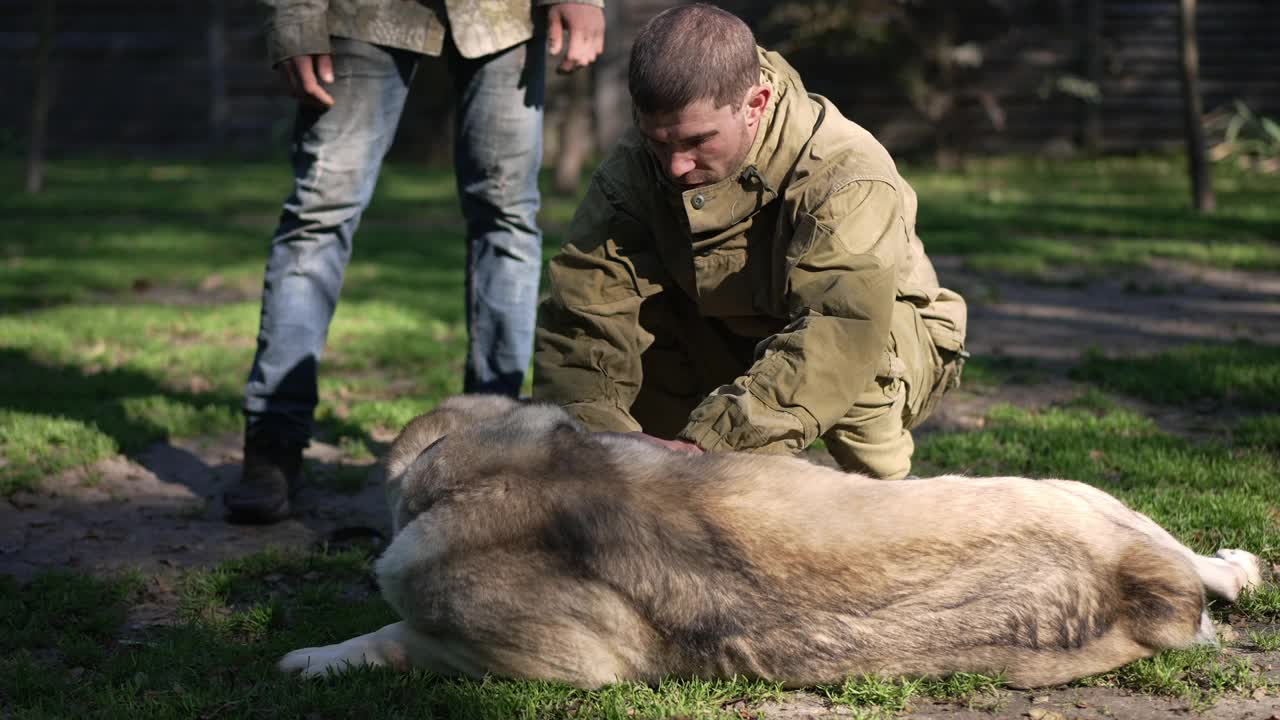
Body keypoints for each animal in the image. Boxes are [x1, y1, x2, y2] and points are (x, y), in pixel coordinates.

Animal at [275, 394, 1264, 686]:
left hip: (1076, 491)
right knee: (1207, 569)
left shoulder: (555, 667)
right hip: (1089, 504)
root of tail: (1136, 578)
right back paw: (1240, 569)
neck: (496, 471)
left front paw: (314, 657)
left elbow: (397, 636)